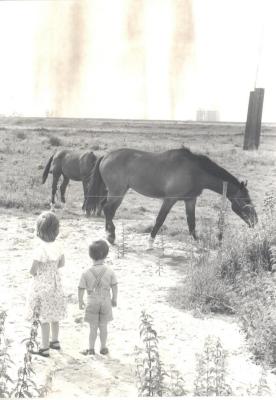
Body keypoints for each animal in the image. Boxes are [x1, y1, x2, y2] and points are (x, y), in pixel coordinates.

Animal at [85, 148, 258, 247]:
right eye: (246, 200)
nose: (255, 221)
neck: (194, 171)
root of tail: (106, 156)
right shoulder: (170, 200)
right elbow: (160, 219)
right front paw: (150, 242)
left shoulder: (190, 200)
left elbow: (191, 222)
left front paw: (197, 243)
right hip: (118, 192)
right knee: (108, 208)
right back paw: (111, 236)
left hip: (116, 192)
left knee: (106, 208)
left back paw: (109, 234)